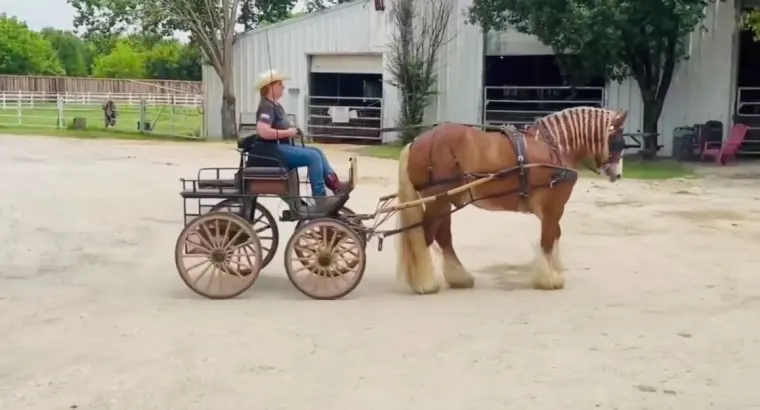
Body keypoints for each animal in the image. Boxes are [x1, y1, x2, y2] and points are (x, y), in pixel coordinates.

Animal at [395, 106, 628, 294]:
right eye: (618, 142)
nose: (617, 174)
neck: (555, 148)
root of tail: (416, 142)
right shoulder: (553, 207)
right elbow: (548, 239)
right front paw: (548, 278)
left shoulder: (549, 209)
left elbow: (554, 235)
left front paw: (554, 270)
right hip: (438, 199)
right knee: (425, 236)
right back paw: (425, 283)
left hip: (446, 199)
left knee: (443, 237)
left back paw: (459, 277)